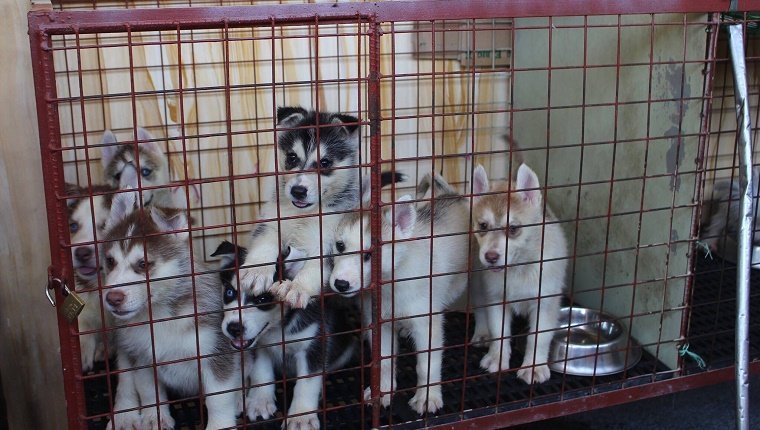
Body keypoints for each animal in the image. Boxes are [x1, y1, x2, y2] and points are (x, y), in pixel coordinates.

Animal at [99, 192, 239, 430]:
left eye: (143, 264)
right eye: (110, 261)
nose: (113, 298)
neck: (160, 316)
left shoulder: (216, 354)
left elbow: (218, 399)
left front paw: (219, 425)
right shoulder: (143, 358)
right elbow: (148, 391)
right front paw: (154, 418)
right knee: (125, 383)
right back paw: (124, 415)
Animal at [214, 240, 356, 430]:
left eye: (263, 299)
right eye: (229, 292)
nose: (233, 328)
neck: (278, 329)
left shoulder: (314, 346)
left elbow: (307, 383)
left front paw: (301, 417)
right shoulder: (260, 346)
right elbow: (261, 372)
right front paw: (260, 402)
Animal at [328, 173, 470, 414]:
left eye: (370, 255)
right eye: (340, 246)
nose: (341, 284)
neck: (390, 286)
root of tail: (452, 195)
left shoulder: (426, 324)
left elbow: (427, 365)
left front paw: (427, 396)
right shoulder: (380, 324)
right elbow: (384, 361)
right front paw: (383, 391)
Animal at [470, 164, 568, 382]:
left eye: (513, 228)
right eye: (483, 226)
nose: (490, 257)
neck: (518, 267)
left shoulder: (545, 302)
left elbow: (538, 337)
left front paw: (534, 367)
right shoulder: (496, 298)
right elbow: (499, 332)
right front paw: (497, 358)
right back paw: (482, 333)